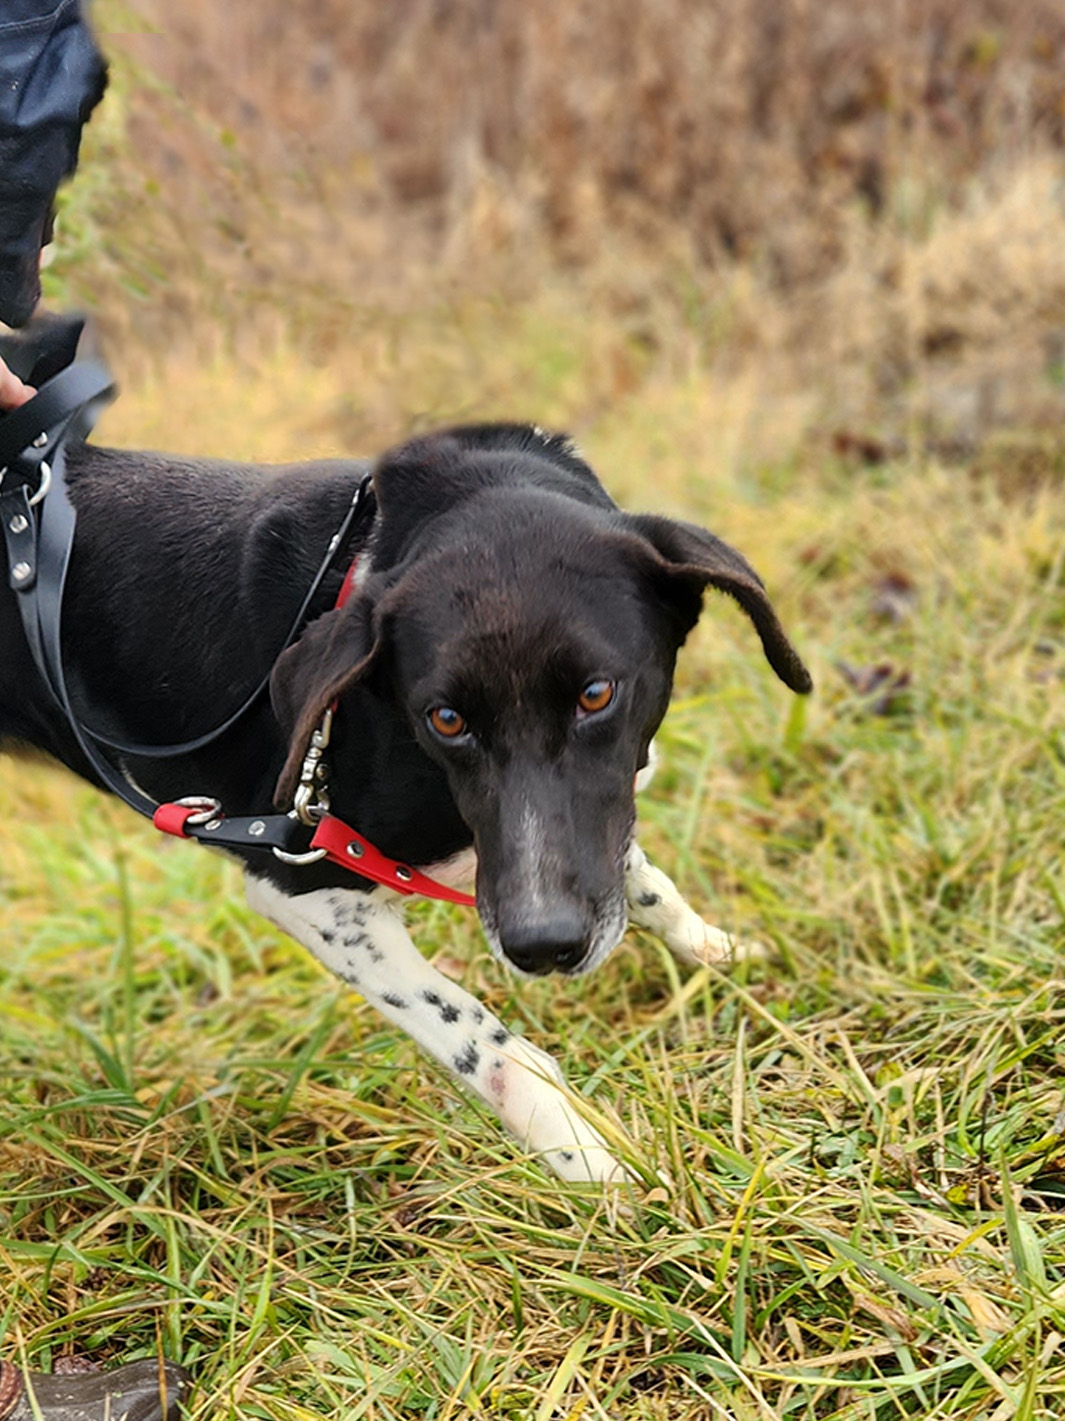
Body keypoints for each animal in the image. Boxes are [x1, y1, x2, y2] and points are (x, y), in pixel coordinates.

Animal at [0, 414, 807, 1182]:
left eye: (596, 694)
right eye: (444, 719)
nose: (543, 947)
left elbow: (646, 886)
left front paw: (723, 953)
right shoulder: (304, 880)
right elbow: (483, 1038)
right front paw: (588, 1157)